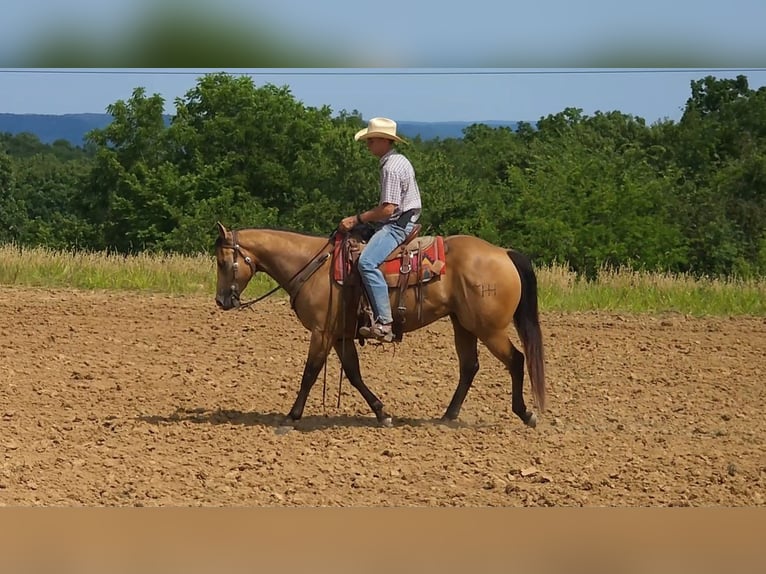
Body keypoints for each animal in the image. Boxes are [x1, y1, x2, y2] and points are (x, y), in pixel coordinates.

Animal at [214, 223, 544, 430]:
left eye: (221, 262)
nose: (221, 301)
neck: (314, 265)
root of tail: (503, 253)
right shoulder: (340, 336)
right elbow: (353, 373)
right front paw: (382, 413)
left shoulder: (321, 332)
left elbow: (310, 373)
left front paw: (291, 416)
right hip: (463, 324)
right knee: (469, 367)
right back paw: (448, 416)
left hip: (489, 328)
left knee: (516, 360)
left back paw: (525, 413)